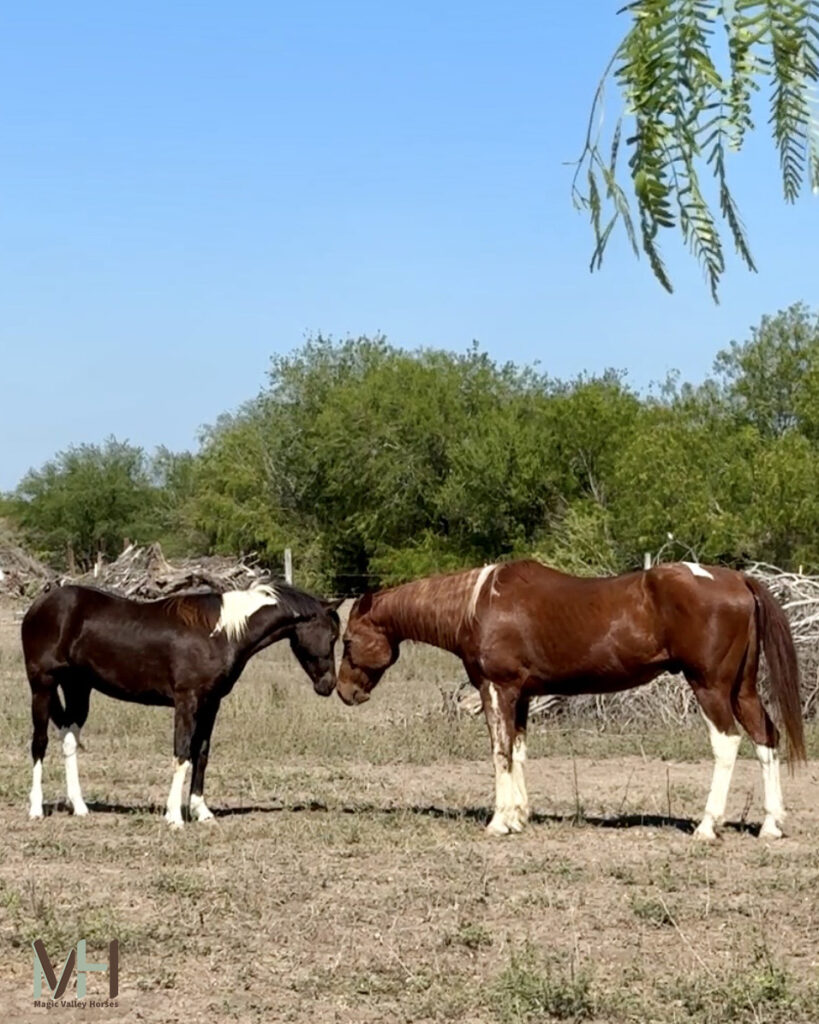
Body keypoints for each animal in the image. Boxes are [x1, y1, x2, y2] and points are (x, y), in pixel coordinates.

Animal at [22, 580, 341, 827]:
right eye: (332, 636)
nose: (329, 685)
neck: (221, 633)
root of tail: (40, 604)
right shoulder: (186, 701)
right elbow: (182, 752)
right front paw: (174, 816)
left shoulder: (211, 704)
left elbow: (201, 753)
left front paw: (202, 811)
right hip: (42, 685)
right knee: (39, 743)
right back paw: (36, 809)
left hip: (78, 687)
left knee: (69, 738)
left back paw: (80, 807)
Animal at [337, 559, 805, 840]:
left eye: (347, 639)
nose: (345, 692)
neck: (478, 605)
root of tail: (737, 579)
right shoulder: (522, 694)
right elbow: (519, 751)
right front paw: (520, 815)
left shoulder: (497, 688)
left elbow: (500, 751)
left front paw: (499, 821)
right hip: (742, 689)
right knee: (766, 738)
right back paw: (771, 824)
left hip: (709, 686)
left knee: (727, 742)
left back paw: (707, 826)